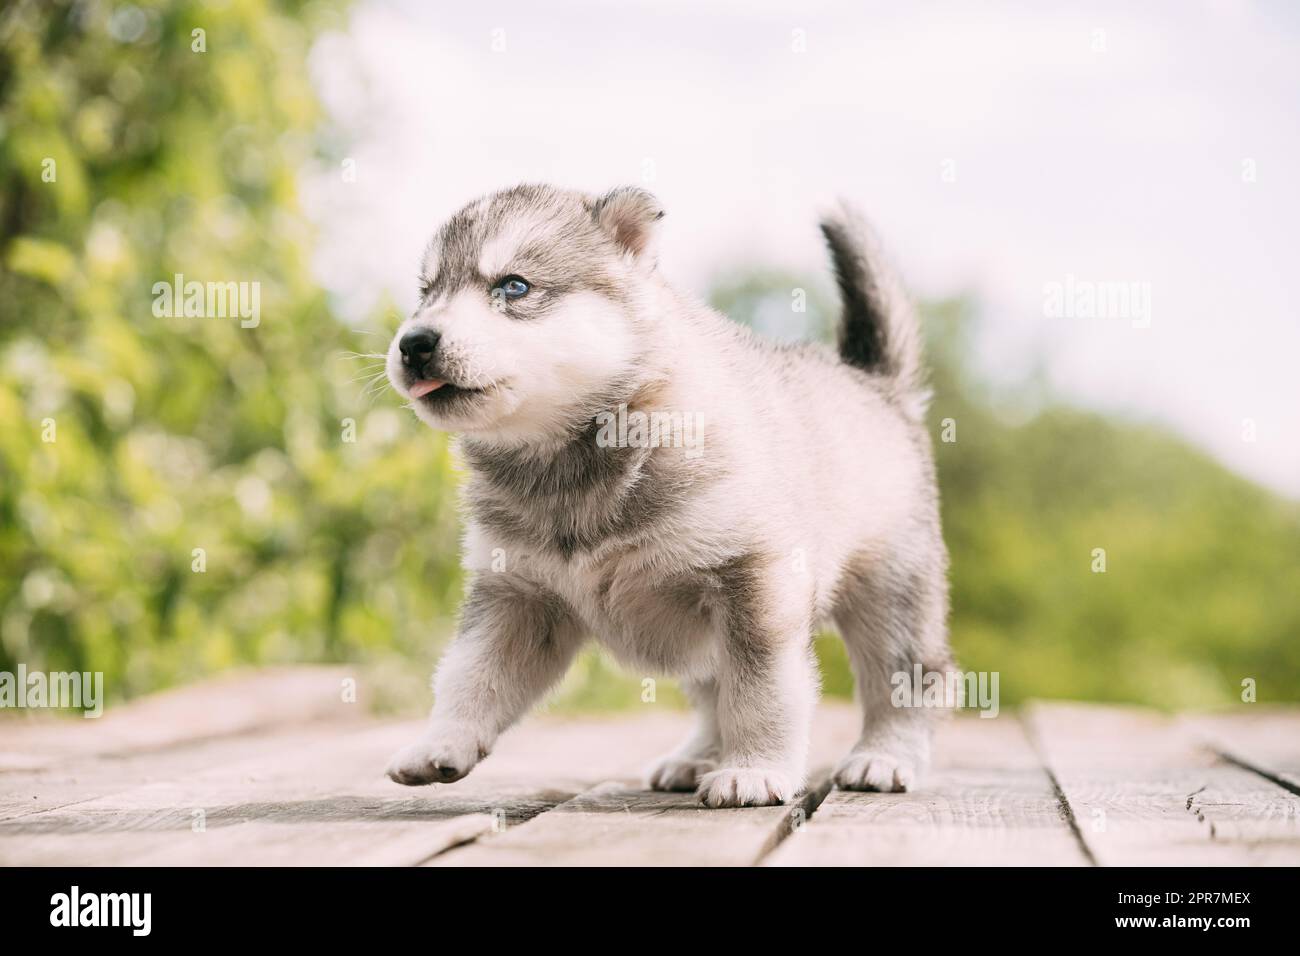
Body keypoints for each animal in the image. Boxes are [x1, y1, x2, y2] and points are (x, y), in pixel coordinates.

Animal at [379, 184, 951, 806]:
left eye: (514, 286)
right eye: (426, 293)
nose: (413, 343)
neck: (567, 464)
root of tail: (874, 380)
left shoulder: (752, 581)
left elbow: (761, 691)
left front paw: (754, 769)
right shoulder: (517, 596)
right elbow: (469, 675)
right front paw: (440, 743)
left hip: (892, 591)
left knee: (906, 678)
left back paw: (883, 758)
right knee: (710, 694)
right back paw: (695, 758)